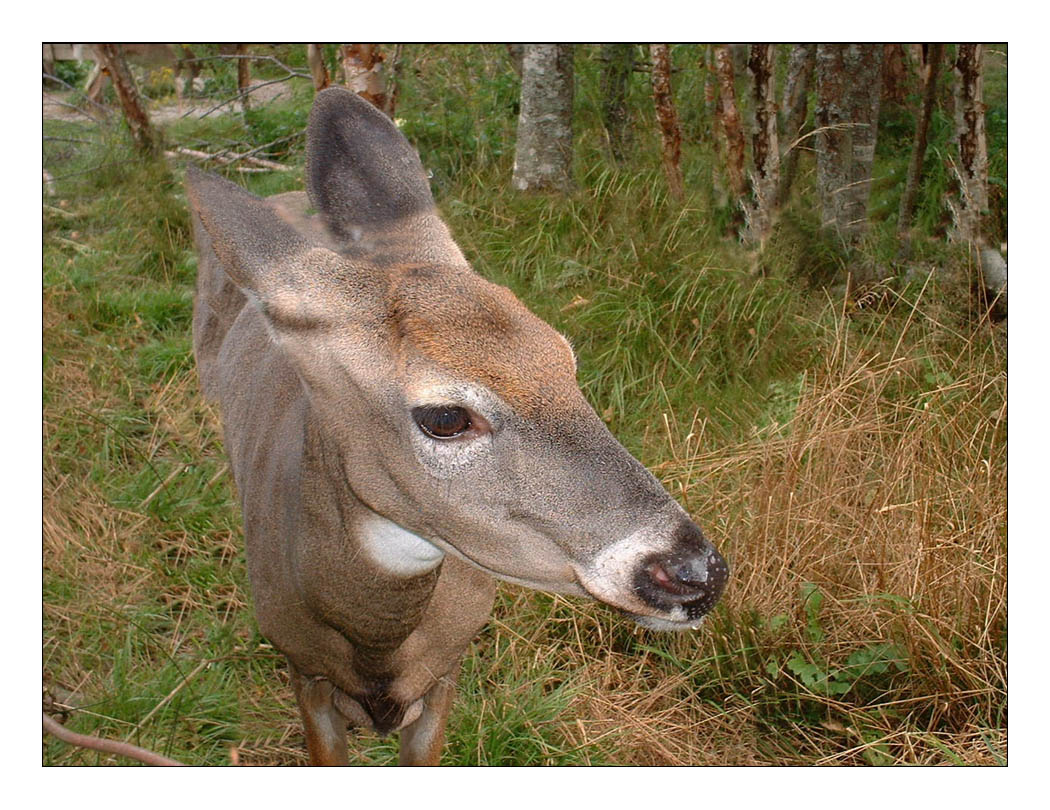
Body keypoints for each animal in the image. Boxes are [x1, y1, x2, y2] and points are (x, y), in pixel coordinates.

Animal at [186, 88, 730, 764]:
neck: (376, 641)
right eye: (445, 417)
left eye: (565, 360)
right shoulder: (301, 672)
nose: (696, 575)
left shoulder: (447, 670)